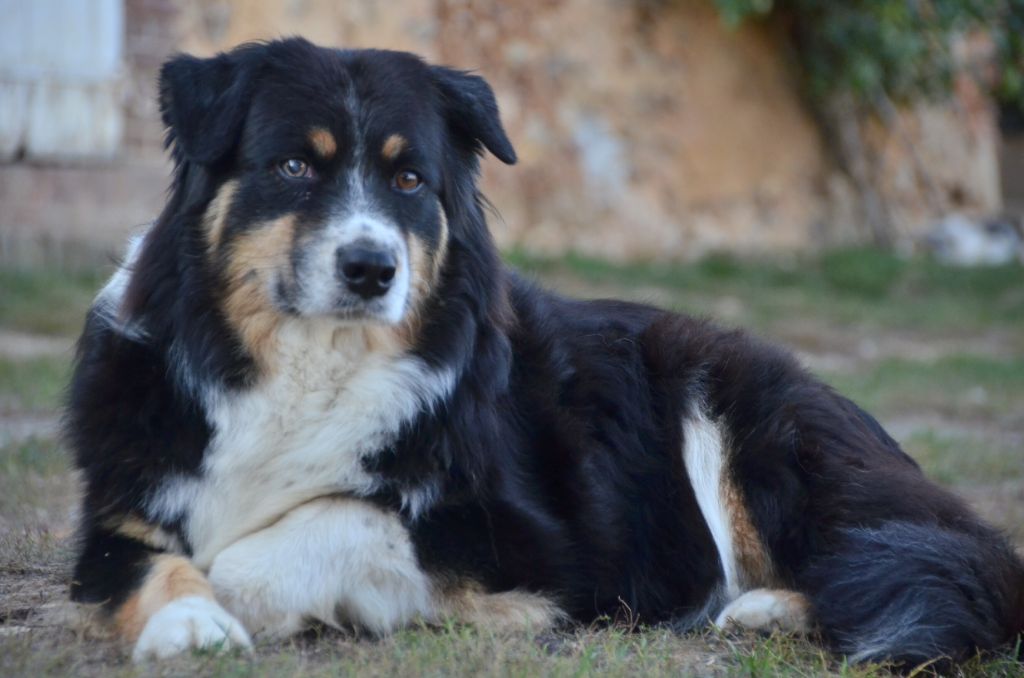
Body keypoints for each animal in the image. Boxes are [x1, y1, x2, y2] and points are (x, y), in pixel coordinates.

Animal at [68, 38, 1019, 667]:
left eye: (408, 179)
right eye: (296, 166)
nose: (373, 269)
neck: (307, 361)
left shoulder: (536, 544)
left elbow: (309, 528)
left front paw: (241, 595)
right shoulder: (122, 509)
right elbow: (145, 565)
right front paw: (187, 624)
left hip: (742, 420)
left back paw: (769, 608)